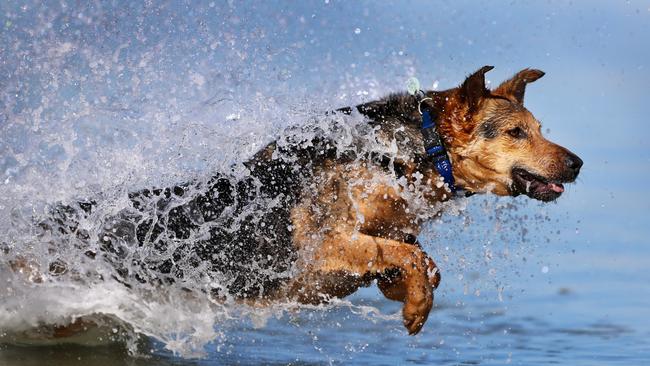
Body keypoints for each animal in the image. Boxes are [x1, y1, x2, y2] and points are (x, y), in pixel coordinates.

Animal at [7, 66, 580, 338]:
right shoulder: (322, 251)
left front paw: (409, 294)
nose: (577, 163)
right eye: (516, 133)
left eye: (540, 129)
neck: (412, 155)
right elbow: (407, 255)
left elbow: (420, 260)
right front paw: (417, 305)